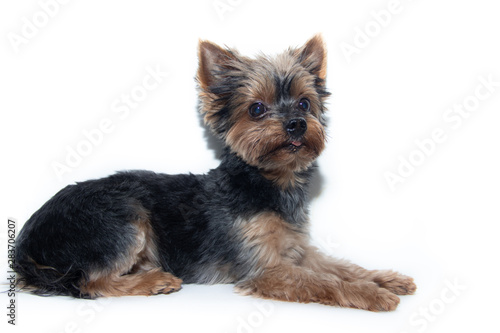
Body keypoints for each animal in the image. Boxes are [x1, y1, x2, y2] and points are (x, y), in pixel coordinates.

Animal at [13, 35, 416, 310]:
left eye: (304, 103)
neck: (270, 182)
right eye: (257, 109)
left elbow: (341, 266)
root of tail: (25, 244)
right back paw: (153, 281)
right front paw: (372, 294)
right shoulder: (265, 268)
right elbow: (324, 281)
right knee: (90, 282)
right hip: (122, 217)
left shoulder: (296, 250)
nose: (297, 124)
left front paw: (386, 279)